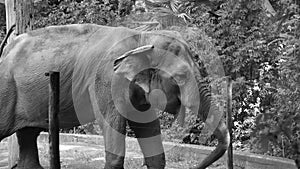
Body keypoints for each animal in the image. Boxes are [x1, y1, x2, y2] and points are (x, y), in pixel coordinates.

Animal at [0, 24, 229, 169]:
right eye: (180, 77)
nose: (198, 166)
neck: (142, 37)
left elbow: (152, 141)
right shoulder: (105, 81)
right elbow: (113, 134)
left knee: (28, 137)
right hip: (6, 90)